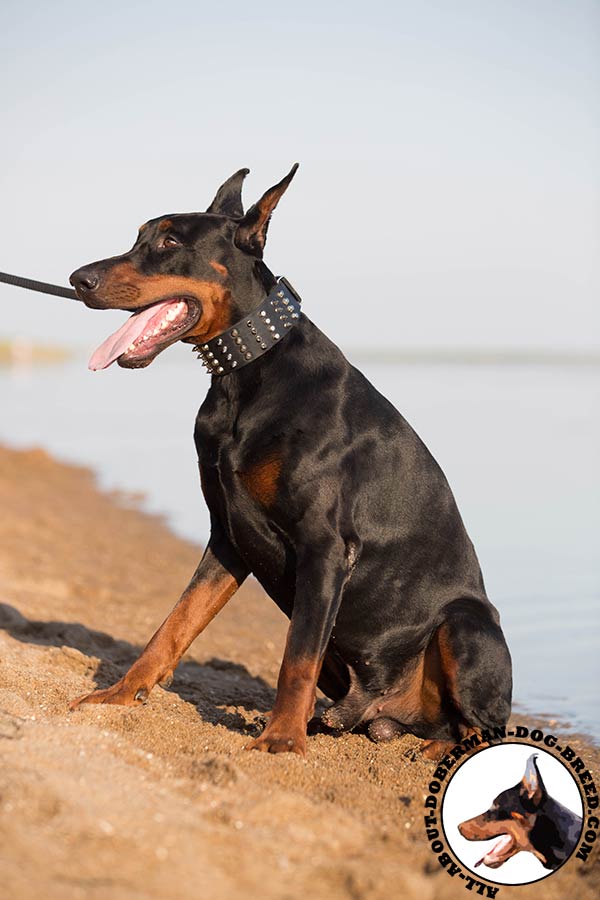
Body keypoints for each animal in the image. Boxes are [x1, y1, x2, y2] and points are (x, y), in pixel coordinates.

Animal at [69, 165, 510, 756]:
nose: (78, 279)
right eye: (139, 236)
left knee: (484, 727)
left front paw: (280, 741)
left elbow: (296, 656)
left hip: (466, 625)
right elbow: (173, 625)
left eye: (170, 242)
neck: (245, 376)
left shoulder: (325, 546)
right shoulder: (228, 533)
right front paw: (117, 695)